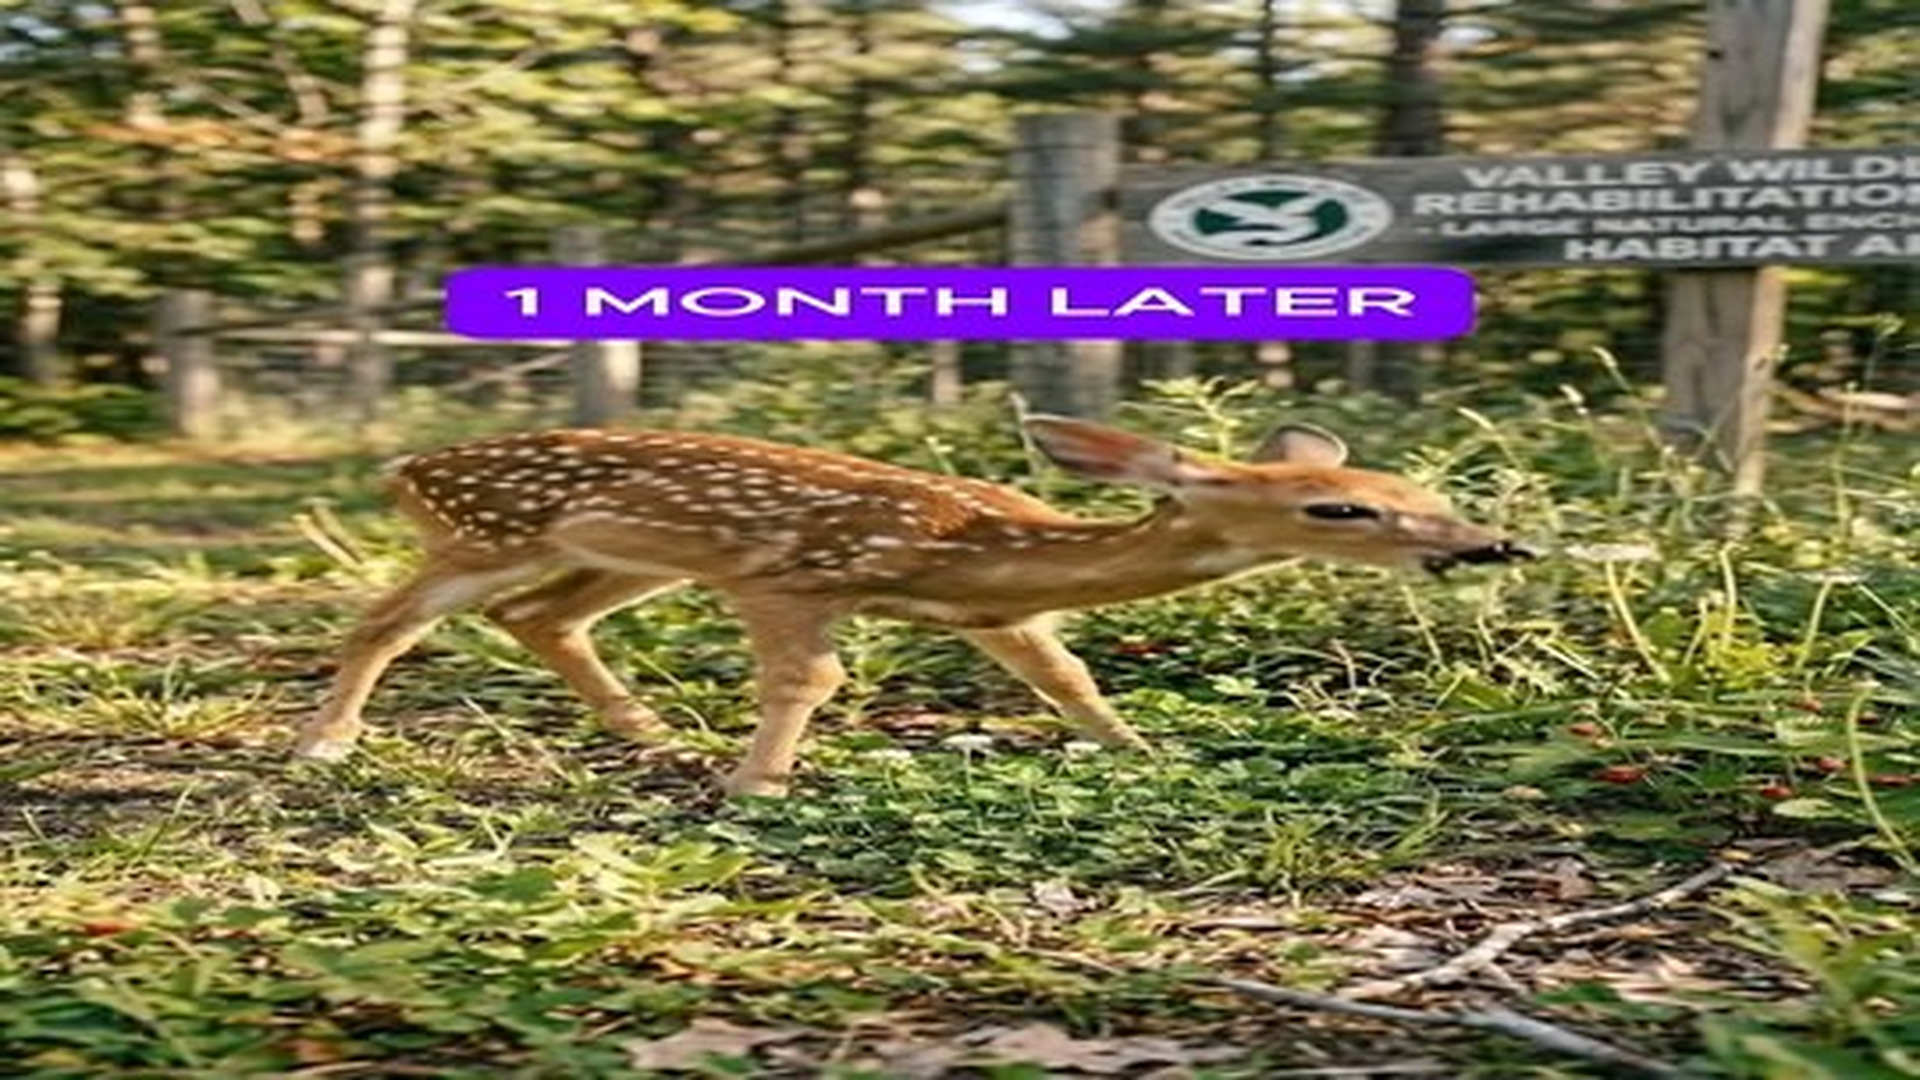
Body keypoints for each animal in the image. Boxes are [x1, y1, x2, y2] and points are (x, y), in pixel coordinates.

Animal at [293, 416, 1532, 797]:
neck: (963, 555)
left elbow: (1071, 675)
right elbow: (811, 676)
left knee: (543, 618)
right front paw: (756, 786)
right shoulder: (787, 578)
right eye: (1340, 508)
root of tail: (405, 464)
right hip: (481, 534)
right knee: (388, 618)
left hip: (627, 559)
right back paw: (323, 745)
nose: (1488, 544)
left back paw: (652, 735)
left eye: (1423, 492)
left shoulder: (997, 616)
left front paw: (1137, 750)